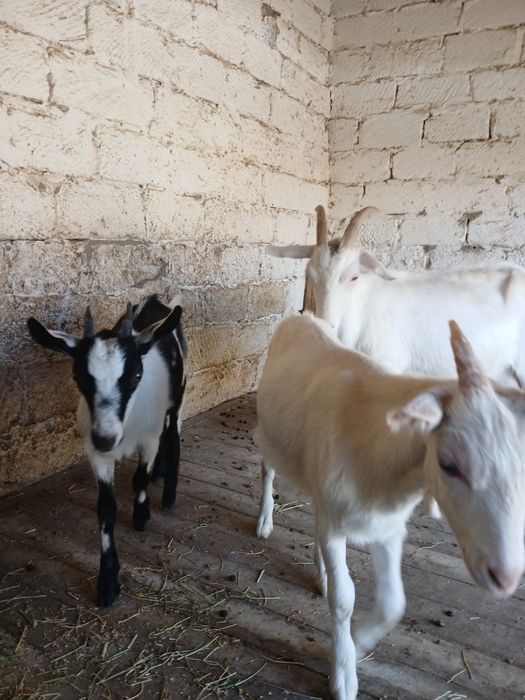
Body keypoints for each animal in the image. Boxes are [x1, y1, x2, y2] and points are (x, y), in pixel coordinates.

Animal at [27, 294, 186, 607]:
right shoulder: (98, 454)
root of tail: (157, 302)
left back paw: (169, 494)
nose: (106, 438)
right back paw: (159, 475)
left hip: (178, 396)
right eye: (78, 377)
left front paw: (141, 516)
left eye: (136, 375)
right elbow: (106, 509)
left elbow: (139, 479)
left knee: (172, 433)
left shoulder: (147, 440)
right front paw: (108, 583)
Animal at [256, 312, 525, 700]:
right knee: (267, 471)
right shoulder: (336, 525)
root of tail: (302, 315)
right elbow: (344, 599)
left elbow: (393, 602)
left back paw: (320, 573)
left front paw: (358, 641)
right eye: (449, 464)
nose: (506, 578)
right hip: (268, 432)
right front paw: (343, 675)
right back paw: (264, 521)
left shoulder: (387, 527)